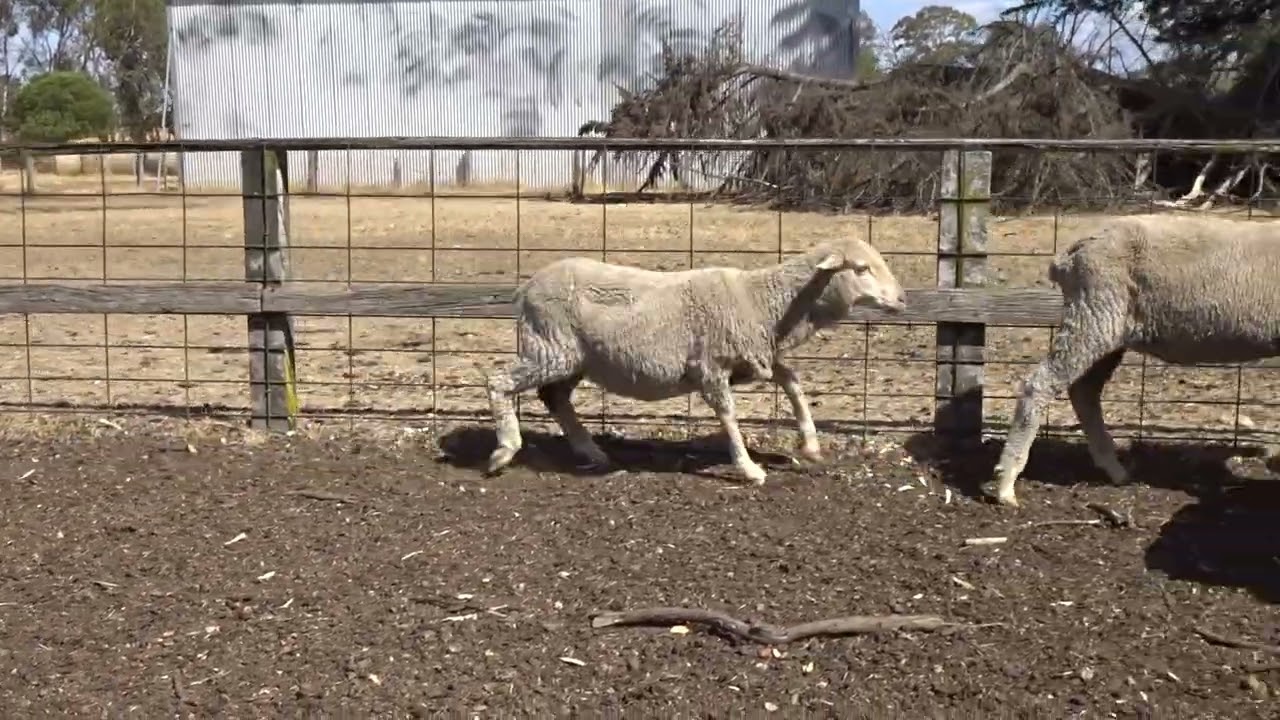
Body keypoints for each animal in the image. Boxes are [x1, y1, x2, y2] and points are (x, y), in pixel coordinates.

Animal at [484, 237, 907, 484]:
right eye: (861, 269)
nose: (902, 299)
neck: (763, 301)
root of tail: (526, 287)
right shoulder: (711, 366)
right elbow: (729, 416)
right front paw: (749, 469)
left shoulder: (753, 358)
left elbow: (792, 381)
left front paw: (810, 443)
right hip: (550, 347)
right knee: (498, 381)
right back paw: (504, 450)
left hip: (576, 358)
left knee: (555, 398)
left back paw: (591, 451)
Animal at [990, 213, 1280, 507]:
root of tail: (1071, 254)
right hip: (1095, 311)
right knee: (1040, 385)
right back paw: (1006, 484)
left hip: (1107, 326)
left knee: (1083, 391)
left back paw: (1115, 470)